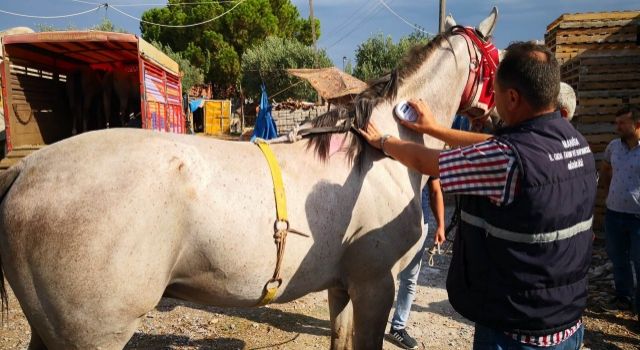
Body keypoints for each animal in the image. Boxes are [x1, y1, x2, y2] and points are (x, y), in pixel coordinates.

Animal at [0, 8, 500, 350]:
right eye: (495, 65)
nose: (494, 118)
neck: (379, 153)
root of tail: (27, 169)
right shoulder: (376, 286)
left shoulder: (343, 286)